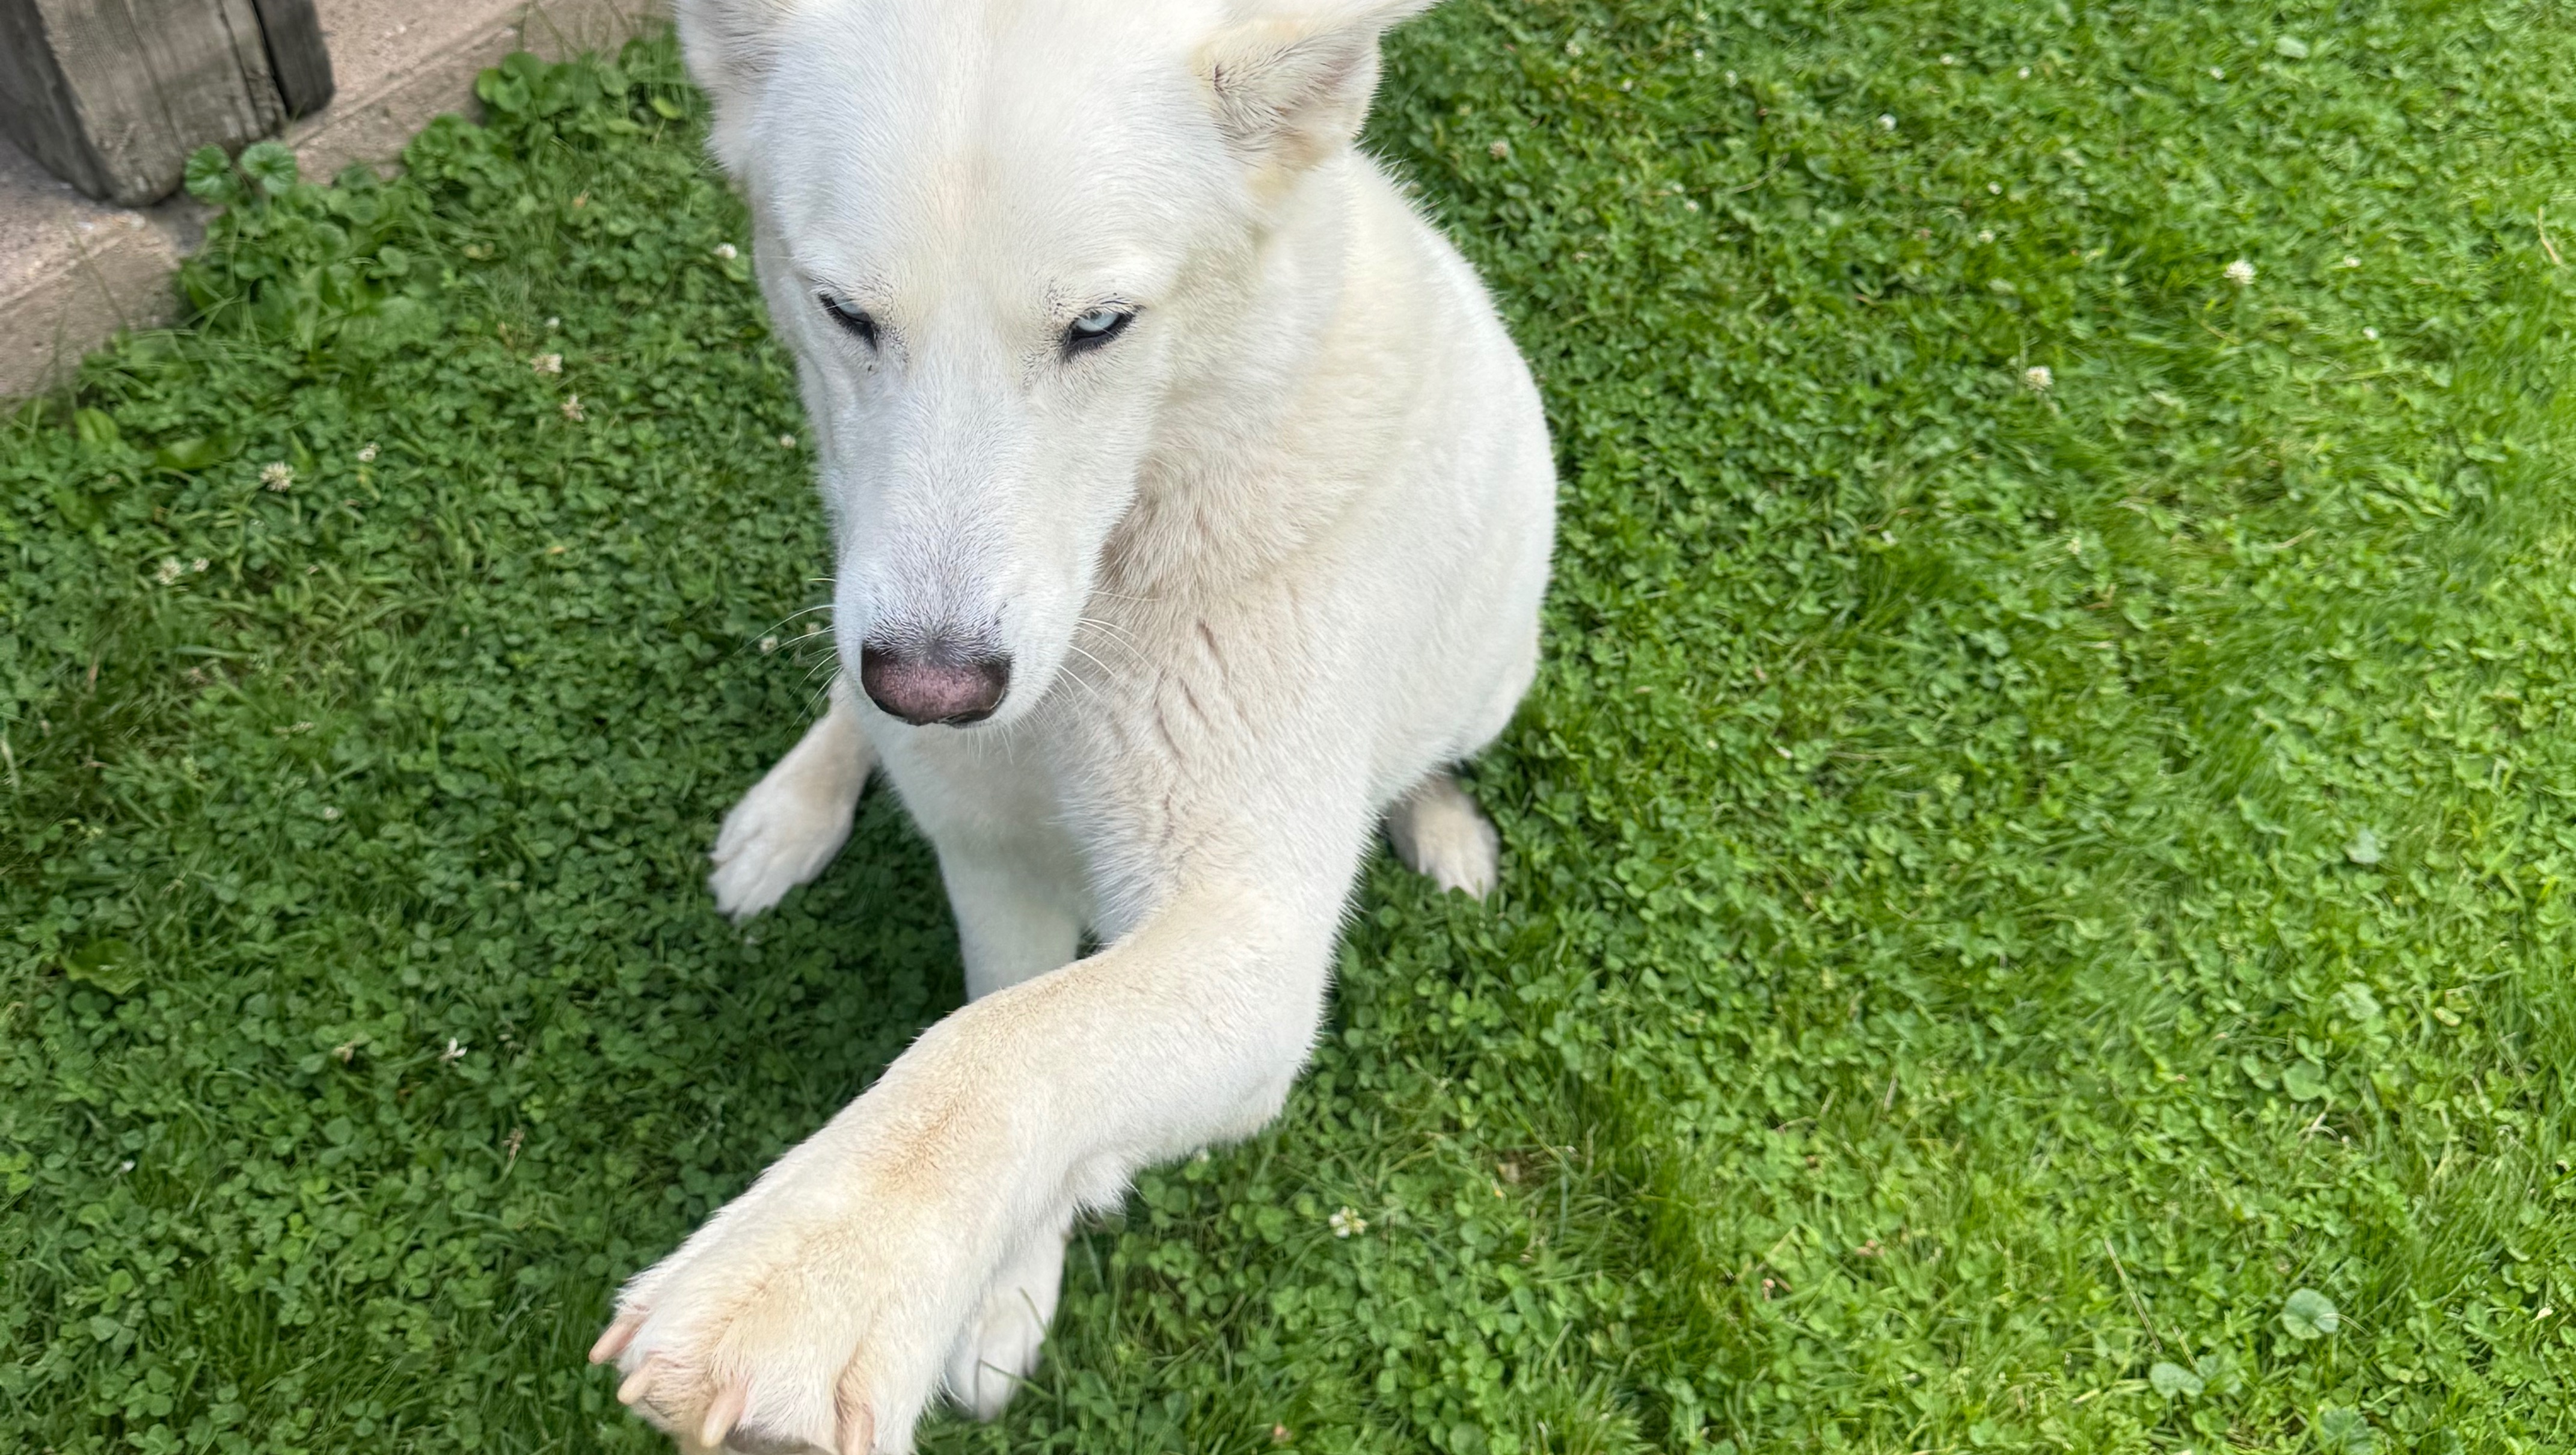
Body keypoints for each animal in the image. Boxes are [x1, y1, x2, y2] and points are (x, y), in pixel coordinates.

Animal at [589, 0, 1554, 1448]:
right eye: (844, 313)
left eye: (1100, 326)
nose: (936, 687)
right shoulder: (987, 849)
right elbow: (1008, 1015)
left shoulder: (1250, 953)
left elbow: (1004, 1054)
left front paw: (816, 1285)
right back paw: (796, 807)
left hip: (1492, 667)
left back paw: (1436, 821)